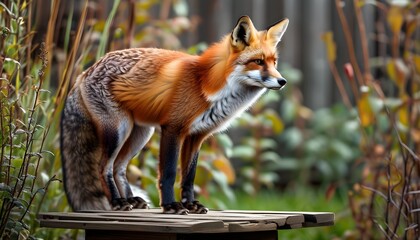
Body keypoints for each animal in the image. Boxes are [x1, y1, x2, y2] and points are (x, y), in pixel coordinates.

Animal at [60, 15, 288, 214]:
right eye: (258, 62)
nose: (282, 81)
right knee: (103, 167)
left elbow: (189, 176)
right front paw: (171, 206)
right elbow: (169, 173)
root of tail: (84, 73)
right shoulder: (173, 128)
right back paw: (118, 201)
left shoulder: (196, 136)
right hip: (119, 131)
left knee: (119, 168)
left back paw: (130, 200)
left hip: (140, 135)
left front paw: (191, 205)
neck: (206, 84)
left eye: (274, 62)